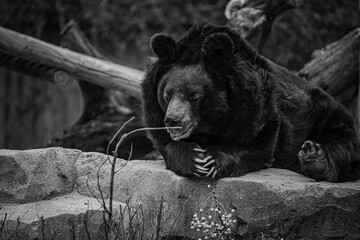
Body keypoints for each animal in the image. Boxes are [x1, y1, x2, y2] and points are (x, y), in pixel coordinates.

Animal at [140, 23, 360, 183]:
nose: (173, 121)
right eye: (167, 95)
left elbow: (258, 145)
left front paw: (212, 161)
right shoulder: (154, 112)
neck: (211, 123)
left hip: (326, 113)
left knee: (341, 145)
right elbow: (164, 141)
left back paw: (315, 158)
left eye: (195, 97)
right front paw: (194, 159)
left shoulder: (256, 108)